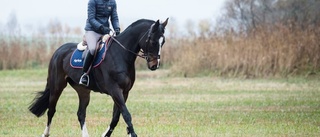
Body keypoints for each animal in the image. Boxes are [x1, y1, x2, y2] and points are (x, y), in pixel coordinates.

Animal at [28, 18, 169, 137]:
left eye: (163, 42)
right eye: (152, 41)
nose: (154, 65)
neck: (121, 54)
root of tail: (58, 51)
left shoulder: (124, 92)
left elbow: (116, 117)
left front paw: (108, 134)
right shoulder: (115, 90)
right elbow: (126, 114)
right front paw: (132, 134)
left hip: (83, 90)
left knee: (81, 113)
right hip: (57, 86)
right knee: (51, 110)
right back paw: (45, 134)